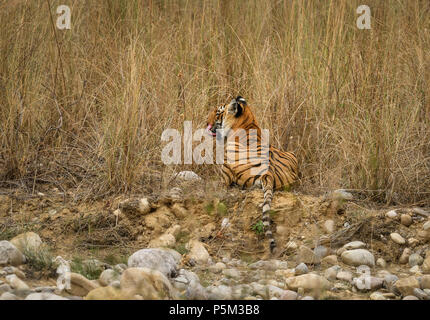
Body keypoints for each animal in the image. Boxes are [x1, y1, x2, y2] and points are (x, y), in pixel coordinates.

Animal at [206, 95, 298, 252]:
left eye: (218, 113)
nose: (206, 122)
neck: (248, 121)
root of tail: (269, 174)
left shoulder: (223, 179)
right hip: (293, 155)